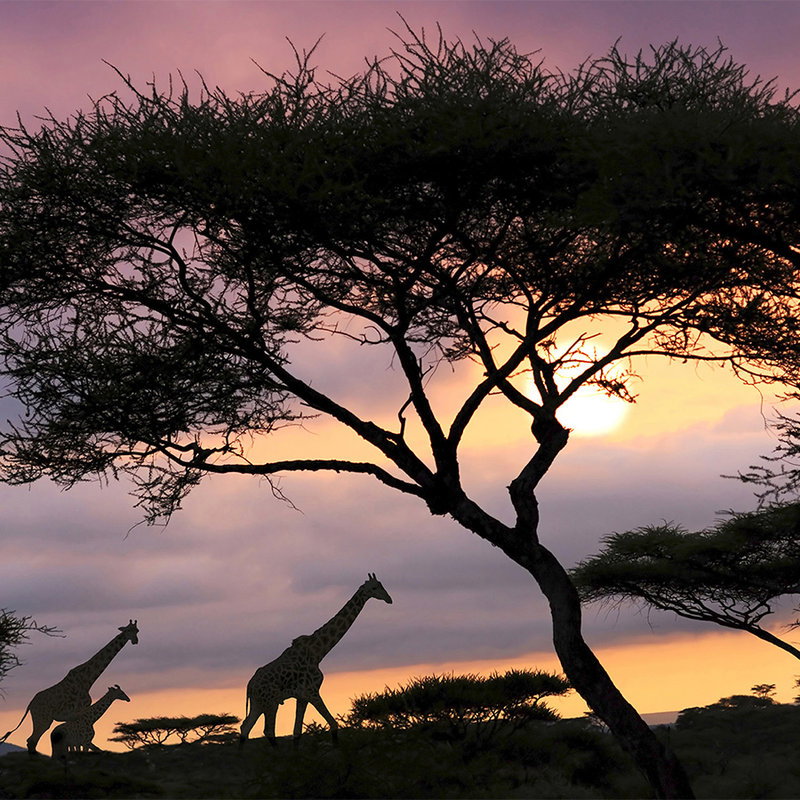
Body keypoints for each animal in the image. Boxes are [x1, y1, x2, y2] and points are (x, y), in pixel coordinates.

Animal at [1, 620, 139, 754]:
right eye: (130, 630)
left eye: (137, 630)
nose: (135, 641)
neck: (87, 680)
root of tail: (30, 704)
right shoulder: (79, 710)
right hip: (43, 719)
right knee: (32, 740)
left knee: (32, 741)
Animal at [240, 573, 392, 747]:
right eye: (374, 587)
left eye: (381, 584)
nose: (389, 599)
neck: (318, 653)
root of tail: (250, 685)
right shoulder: (312, 691)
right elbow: (333, 723)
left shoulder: (302, 696)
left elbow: (297, 732)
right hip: (270, 702)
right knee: (268, 731)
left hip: (258, 704)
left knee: (245, 727)